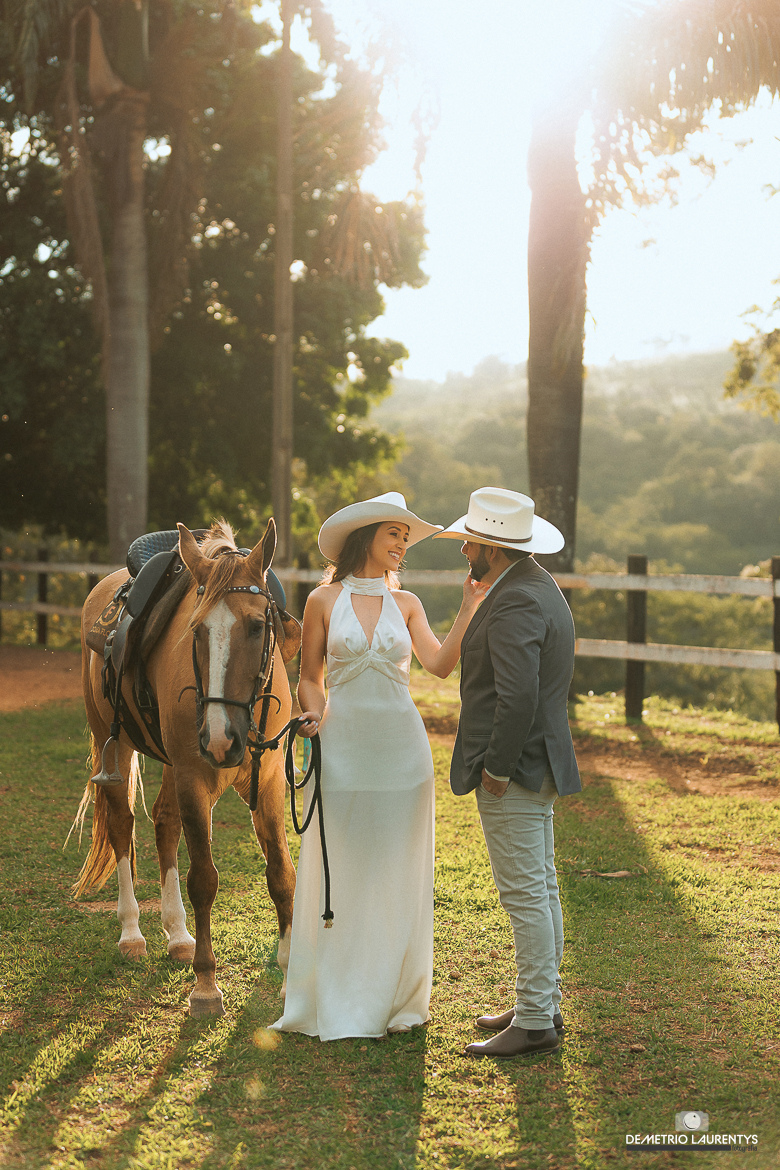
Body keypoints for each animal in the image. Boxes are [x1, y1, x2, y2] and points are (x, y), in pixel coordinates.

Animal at [71, 519, 301, 1017]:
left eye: (258, 626)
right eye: (196, 630)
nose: (219, 738)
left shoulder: (269, 780)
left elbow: (281, 874)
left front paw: (293, 980)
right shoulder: (195, 778)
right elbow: (203, 880)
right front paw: (206, 985)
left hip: (174, 765)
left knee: (164, 823)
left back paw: (177, 935)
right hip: (113, 744)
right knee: (122, 825)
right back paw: (132, 932)